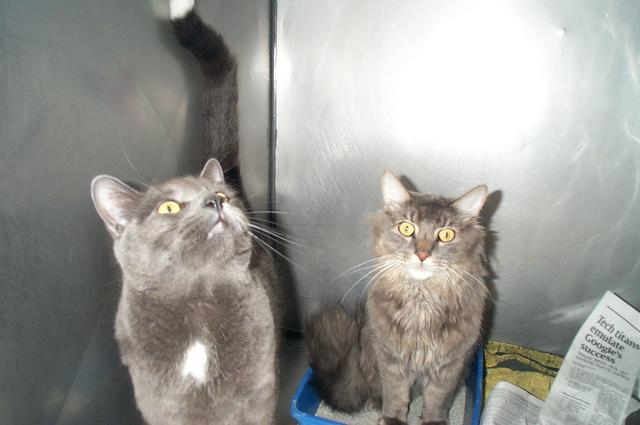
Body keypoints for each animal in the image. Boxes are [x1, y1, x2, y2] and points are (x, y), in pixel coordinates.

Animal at [89, 1, 279, 424]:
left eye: (220, 195)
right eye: (169, 206)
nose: (217, 200)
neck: (199, 307)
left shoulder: (258, 392)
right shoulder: (162, 404)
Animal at [307, 171, 489, 425]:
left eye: (446, 234)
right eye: (406, 228)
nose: (422, 255)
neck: (422, 302)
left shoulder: (449, 366)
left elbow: (437, 400)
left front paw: (433, 421)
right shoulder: (391, 359)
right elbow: (396, 396)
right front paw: (392, 419)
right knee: (377, 390)